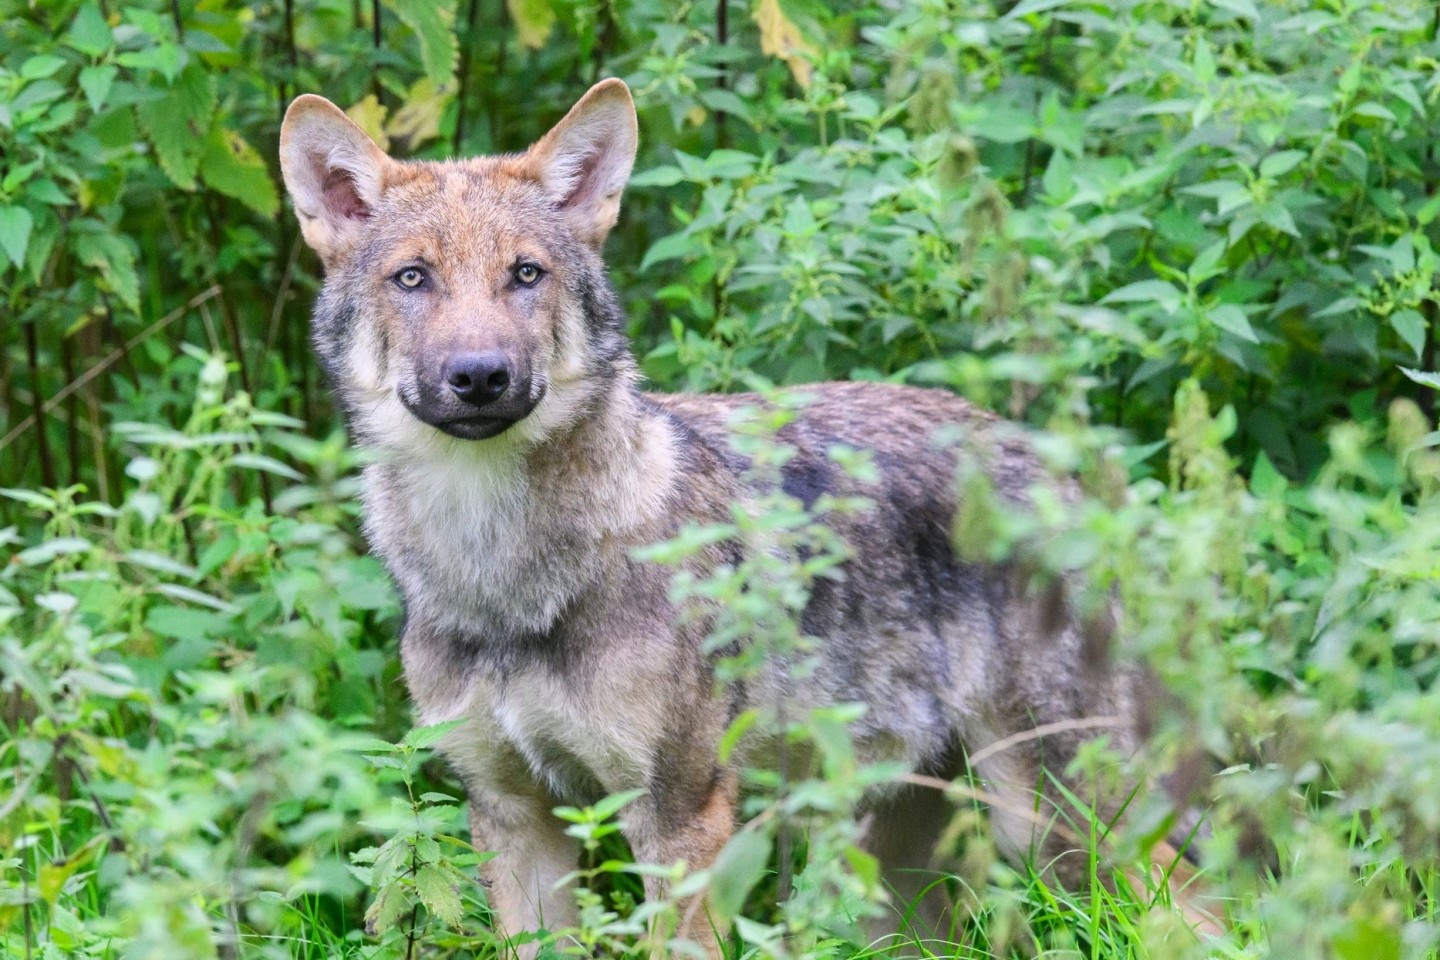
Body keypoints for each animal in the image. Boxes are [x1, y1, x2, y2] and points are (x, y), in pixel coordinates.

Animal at [275, 80, 1198, 955]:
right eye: (414, 278)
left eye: (525, 275)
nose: (479, 375)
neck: (501, 574)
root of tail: (1062, 468)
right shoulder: (512, 814)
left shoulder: (681, 818)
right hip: (898, 874)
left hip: (1058, 826)